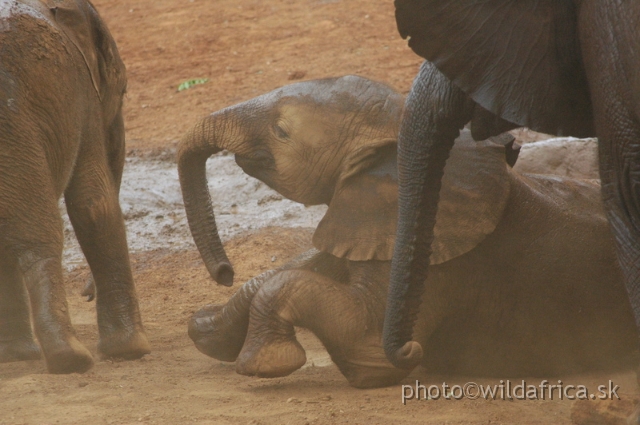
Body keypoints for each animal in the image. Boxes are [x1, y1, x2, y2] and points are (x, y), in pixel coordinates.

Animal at [0, 0, 149, 372]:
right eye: (123, 90)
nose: (86, 292)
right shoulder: (81, 96)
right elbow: (94, 205)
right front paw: (130, 350)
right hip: (13, 128)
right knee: (40, 235)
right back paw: (70, 358)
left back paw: (22, 356)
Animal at [179, 74, 636, 386]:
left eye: (281, 132)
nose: (224, 271)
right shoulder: (366, 218)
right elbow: (301, 267)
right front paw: (206, 329)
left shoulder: (438, 257)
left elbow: (365, 344)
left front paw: (265, 363)